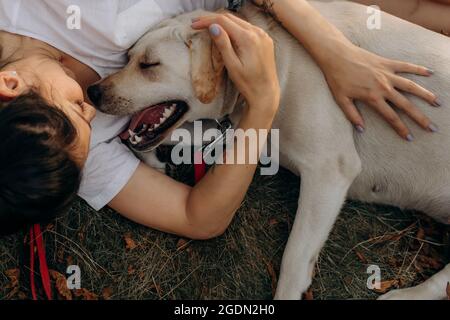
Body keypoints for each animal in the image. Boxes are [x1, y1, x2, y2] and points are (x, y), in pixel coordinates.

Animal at [89, 1, 450, 298]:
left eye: (149, 65)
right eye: (127, 58)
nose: (92, 92)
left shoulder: (329, 169)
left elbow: (293, 261)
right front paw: (152, 158)